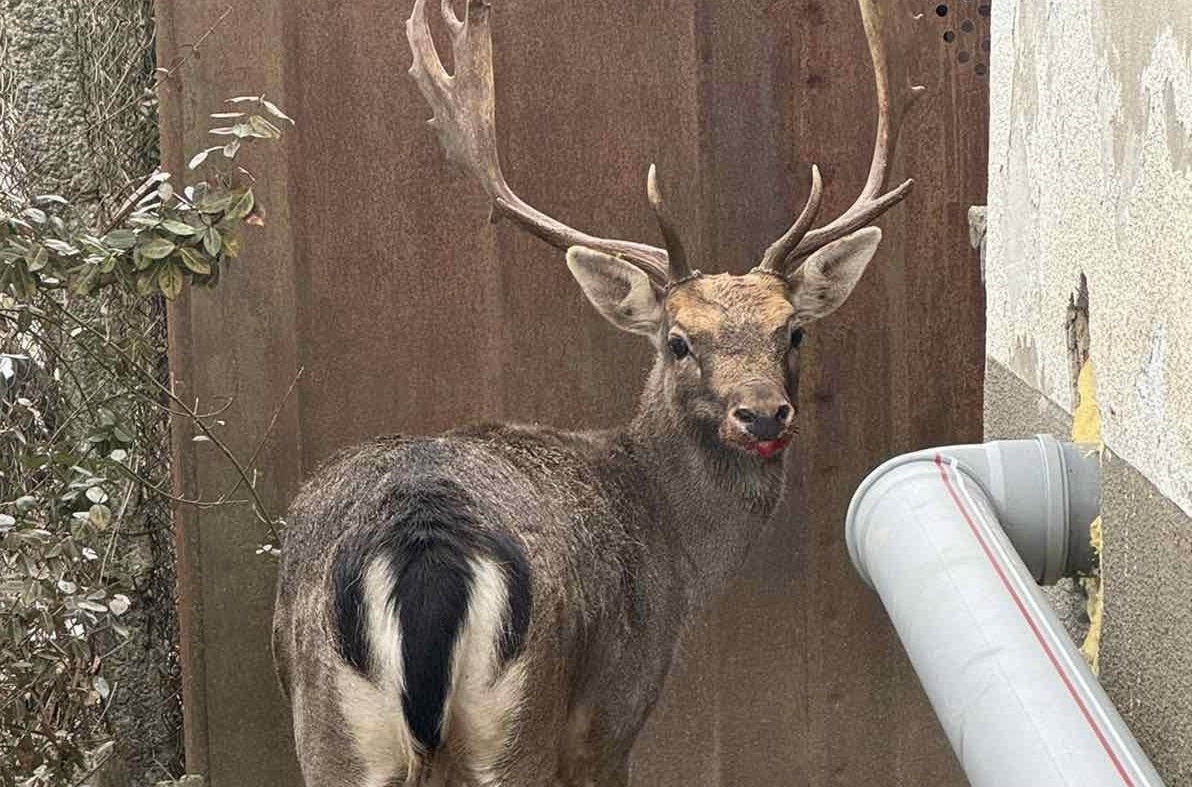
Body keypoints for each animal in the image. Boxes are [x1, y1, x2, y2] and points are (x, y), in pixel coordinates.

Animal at [272, 1, 920, 787]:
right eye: (678, 340)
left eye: (792, 331)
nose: (763, 414)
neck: (678, 556)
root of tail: (420, 546)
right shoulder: (616, 707)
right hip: (523, 713)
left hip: (328, 724)